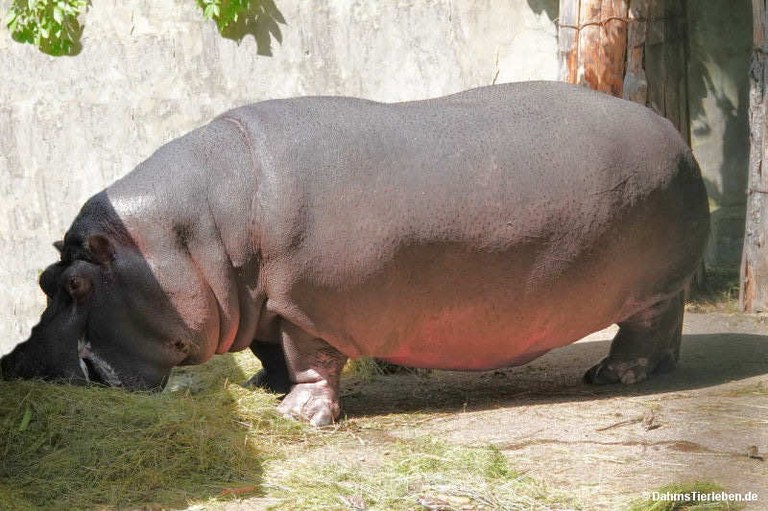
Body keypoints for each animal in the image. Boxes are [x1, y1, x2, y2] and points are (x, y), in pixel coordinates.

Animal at [0, 81, 710, 426]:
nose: (19, 367)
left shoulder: (307, 305)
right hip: (664, 282)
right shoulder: (268, 303)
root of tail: (672, 130)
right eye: (42, 278)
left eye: (78, 287)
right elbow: (273, 354)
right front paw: (264, 389)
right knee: (670, 324)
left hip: (648, 286)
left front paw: (297, 418)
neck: (193, 239)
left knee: (644, 328)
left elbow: (313, 361)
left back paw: (611, 376)